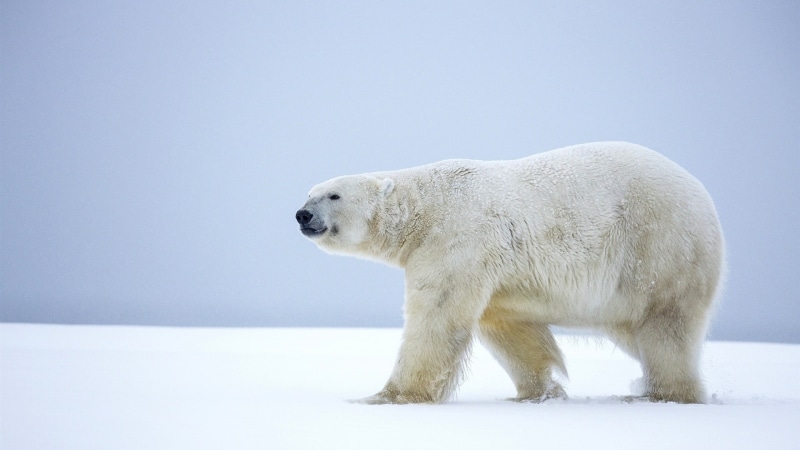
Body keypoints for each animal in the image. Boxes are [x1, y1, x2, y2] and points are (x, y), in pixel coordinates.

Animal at [295, 141, 725, 404]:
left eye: (333, 194)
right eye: (309, 193)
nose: (302, 214)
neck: (426, 208)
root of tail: (704, 199)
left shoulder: (455, 239)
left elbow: (436, 319)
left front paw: (385, 396)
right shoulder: (494, 269)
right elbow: (508, 325)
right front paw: (537, 392)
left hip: (660, 246)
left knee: (666, 327)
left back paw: (660, 393)